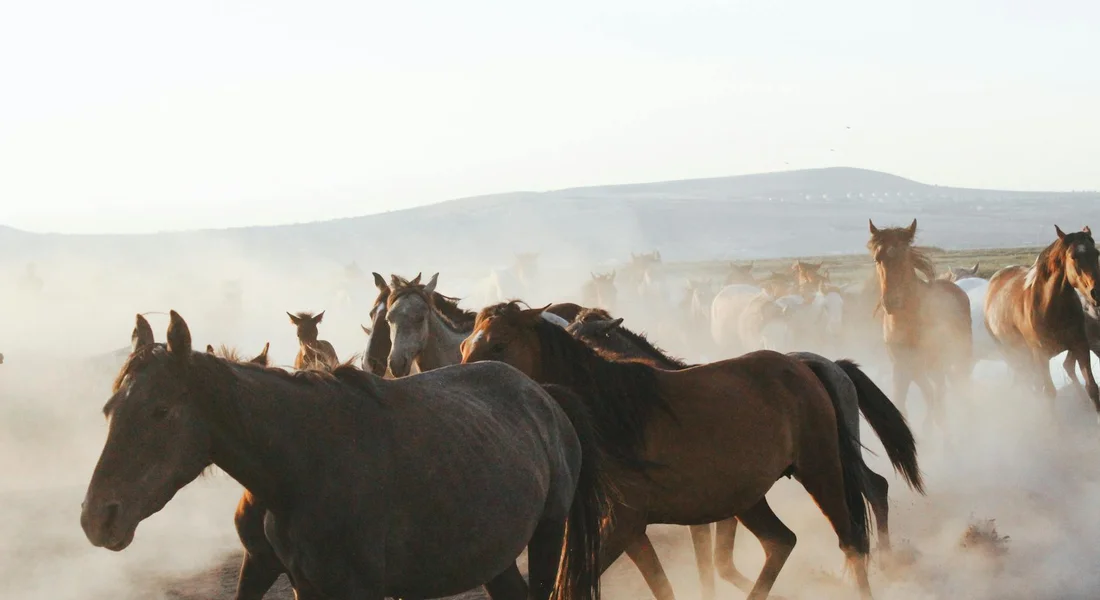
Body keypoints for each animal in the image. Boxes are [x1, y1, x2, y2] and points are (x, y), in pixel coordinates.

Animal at [81, 311, 606, 600]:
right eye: (108, 408)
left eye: (160, 411)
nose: (97, 517)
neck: (305, 466)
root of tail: (543, 396)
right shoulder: (300, 583)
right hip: (495, 556)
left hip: (547, 535)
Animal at [462, 301, 877, 600]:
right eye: (465, 345)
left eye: (499, 344)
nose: (469, 387)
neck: (611, 412)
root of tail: (802, 365)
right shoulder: (626, 527)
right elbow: (661, 585)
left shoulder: (623, 523)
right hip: (745, 496)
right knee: (780, 542)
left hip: (820, 470)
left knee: (852, 542)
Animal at [566, 310, 922, 600]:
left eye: (588, 336)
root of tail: (830, 365)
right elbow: (721, 562)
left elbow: (714, 561)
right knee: (874, 487)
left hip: (832, 457)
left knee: (872, 490)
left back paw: (885, 563)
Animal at [868, 219, 973, 437]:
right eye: (877, 259)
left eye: (903, 257)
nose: (891, 302)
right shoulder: (902, 367)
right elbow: (903, 403)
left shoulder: (932, 364)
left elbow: (936, 406)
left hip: (956, 359)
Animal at [985, 225, 1100, 418]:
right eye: (1073, 256)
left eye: (1096, 253)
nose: (1096, 293)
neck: (1051, 307)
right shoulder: (1040, 354)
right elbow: (1049, 392)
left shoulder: (1081, 346)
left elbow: (1092, 387)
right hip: (1012, 355)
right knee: (1027, 383)